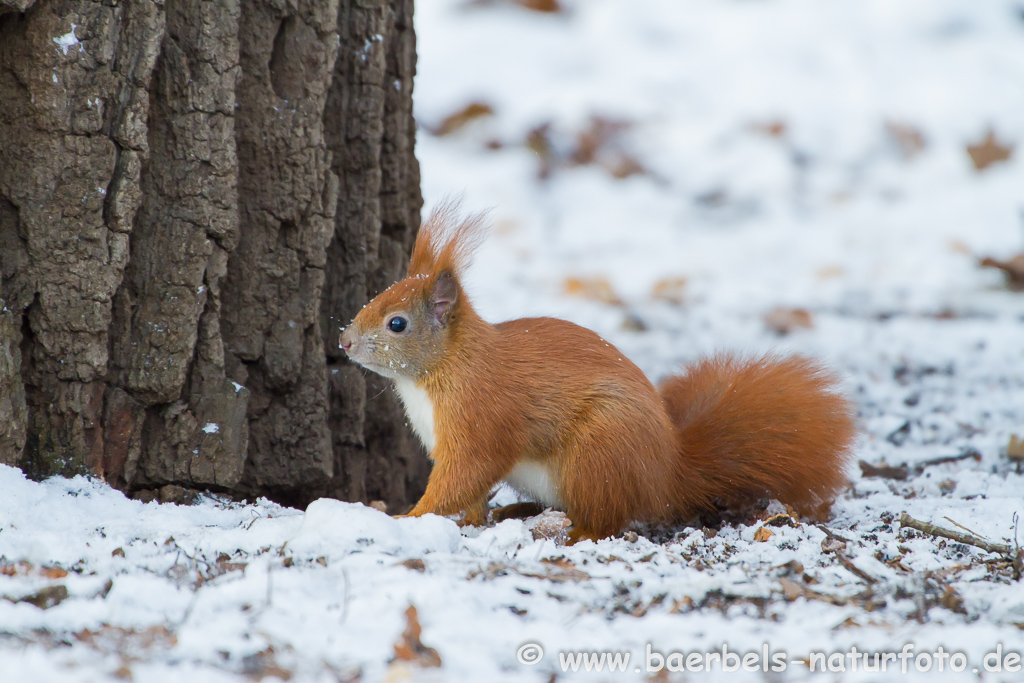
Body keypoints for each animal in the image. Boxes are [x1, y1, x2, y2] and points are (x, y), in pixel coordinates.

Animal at [337, 202, 856, 544]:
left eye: (397, 323)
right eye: (375, 296)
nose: (343, 341)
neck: (441, 369)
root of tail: (666, 473)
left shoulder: (481, 417)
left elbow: (464, 475)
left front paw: (410, 518)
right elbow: (470, 492)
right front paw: (465, 521)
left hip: (598, 453)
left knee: (606, 520)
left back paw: (574, 532)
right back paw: (521, 510)